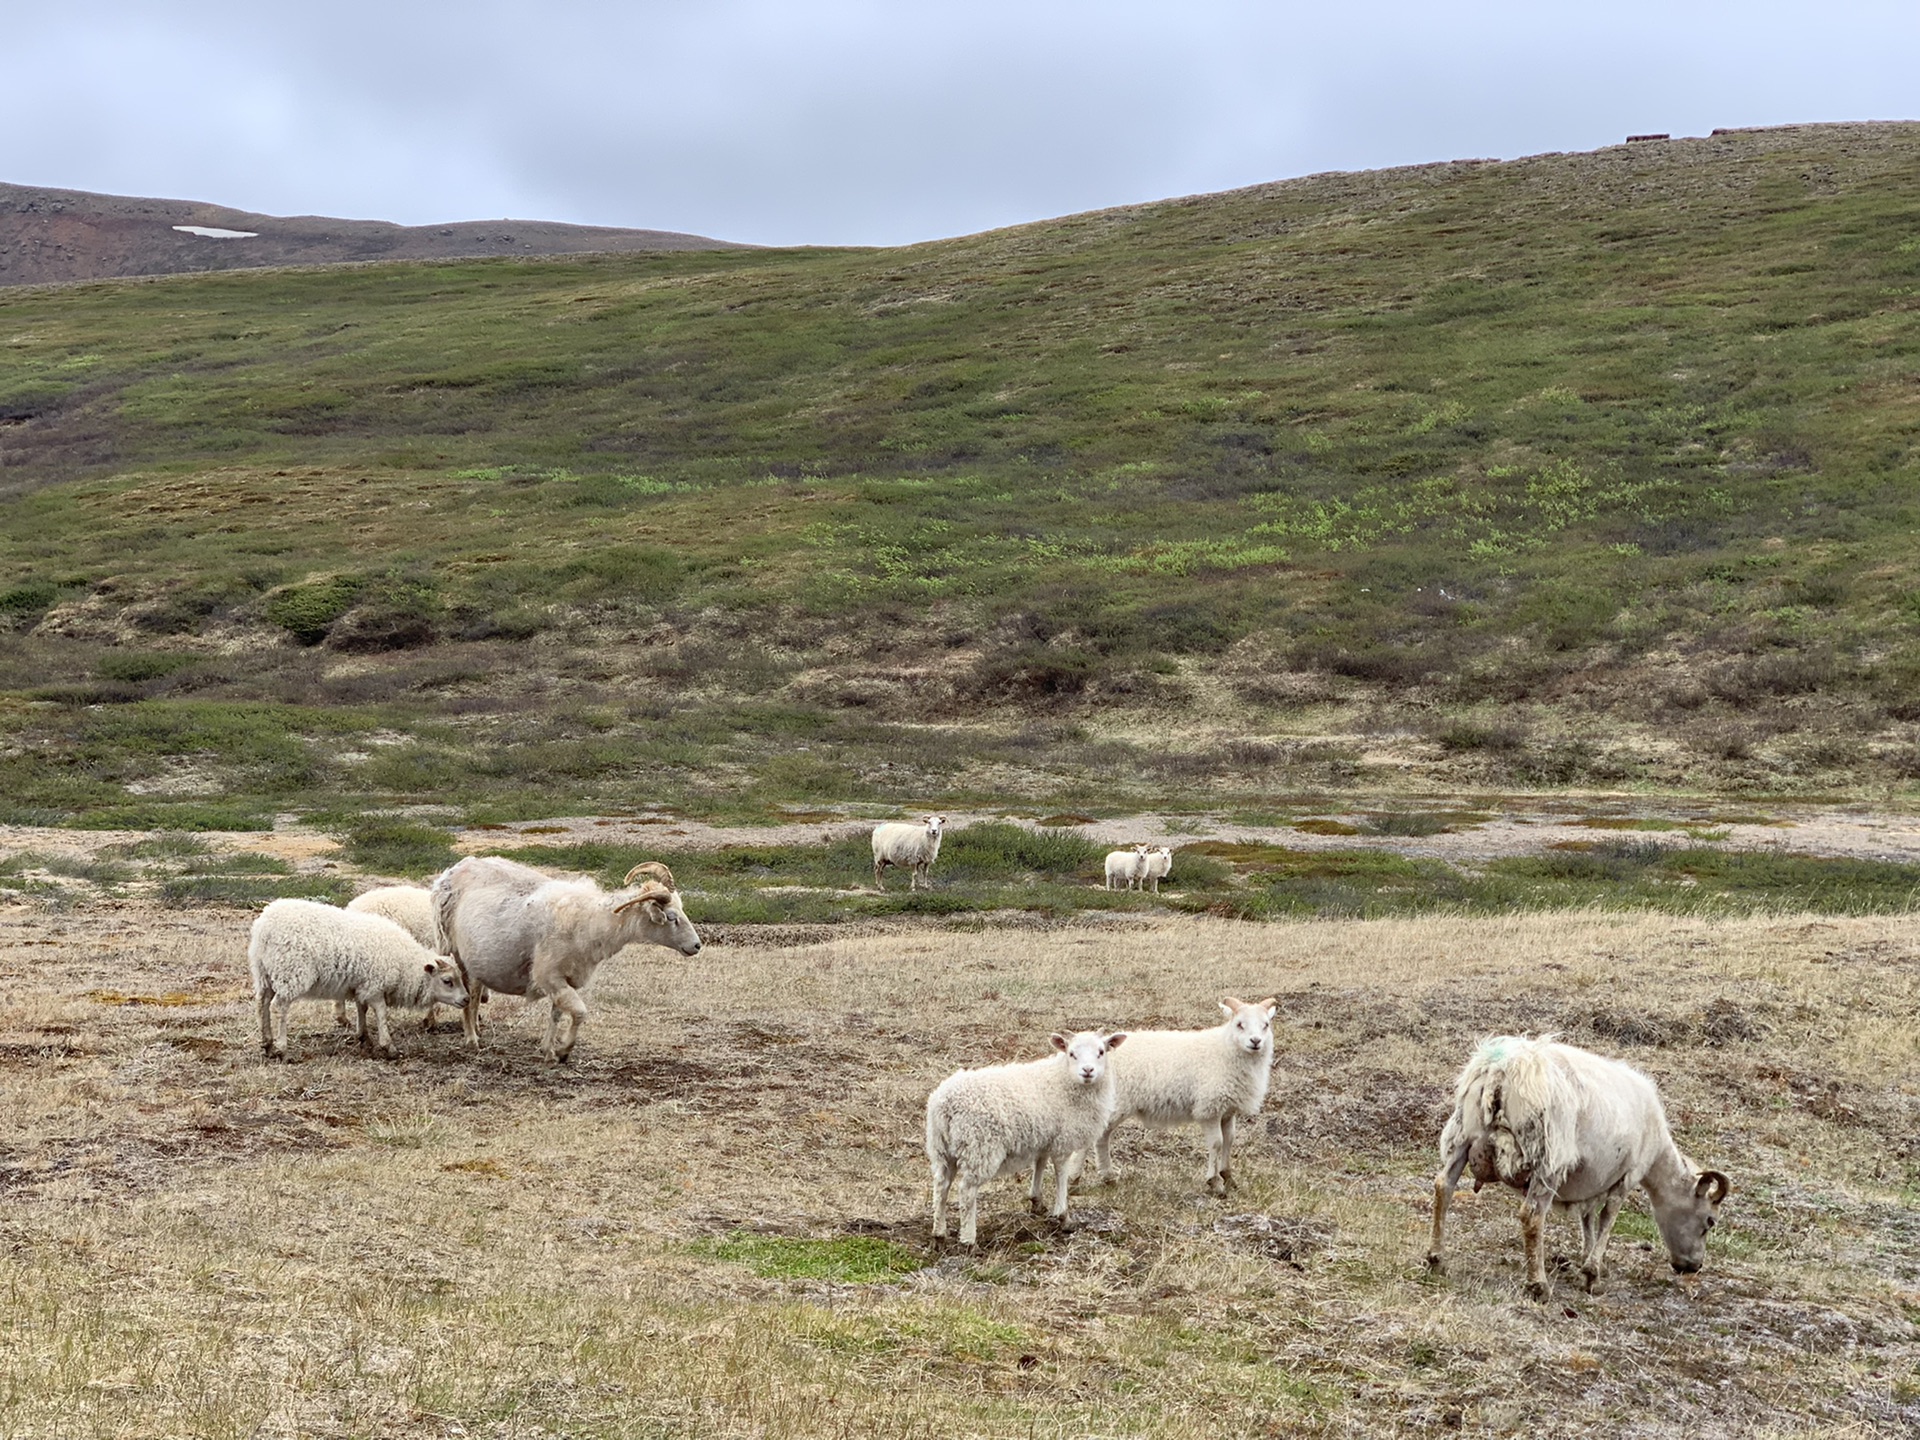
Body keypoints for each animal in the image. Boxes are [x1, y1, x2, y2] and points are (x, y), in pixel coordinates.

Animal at [251, 898, 468, 1067]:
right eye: (447, 981)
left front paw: (364, 1039)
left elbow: (361, 1008)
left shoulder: (362, 986)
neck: (404, 963)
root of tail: (263, 927)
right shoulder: (375, 986)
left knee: (262, 1004)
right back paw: (282, 1050)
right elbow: (381, 1013)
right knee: (279, 1007)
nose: (466, 999)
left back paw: (268, 1045)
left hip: (264, 973)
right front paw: (389, 1047)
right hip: (290, 973)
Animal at [432, 852, 702, 1067]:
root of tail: (456, 867)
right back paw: (470, 1038)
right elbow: (580, 1013)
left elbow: (557, 1013)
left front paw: (548, 1050)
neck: (593, 920)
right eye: (671, 917)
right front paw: (563, 1050)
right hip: (453, 948)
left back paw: (476, 1029)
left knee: (475, 991)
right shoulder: (547, 975)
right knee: (467, 994)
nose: (697, 945)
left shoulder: (565, 978)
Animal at [925, 1029, 1121, 1251]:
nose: (1088, 1071)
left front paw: (1036, 1201)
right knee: (966, 1191)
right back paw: (969, 1240)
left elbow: (1040, 1164)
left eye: (1101, 1052)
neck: (1064, 1080)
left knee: (941, 1186)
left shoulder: (1044, 1138)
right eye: (1071, 1054)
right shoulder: (1063, 1140)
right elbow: (1061, 1173)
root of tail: (945, 1104)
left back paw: (939, 1233)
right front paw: (1063, 1216)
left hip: (941, 1148)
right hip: (979, 1147)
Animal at [1082, 998, 1274, 1198]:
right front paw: (1215, 1182)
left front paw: (1228, 1177)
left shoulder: (1227, 1110)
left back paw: (1107, 1177)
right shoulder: (1210, 1107)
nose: (1256, 1041)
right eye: (1239, 1024)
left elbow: (1229, 1140)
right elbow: (1216, 1143)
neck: (1224, 1048)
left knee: (1101, 1137)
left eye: (1266, 1025)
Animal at [1428, 1029, 1743, 1305]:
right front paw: (1593, 1274)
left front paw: (1588, 1261)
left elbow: (1588, 1220)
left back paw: (1436, 1260)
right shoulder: (1627, 1177)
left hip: (1462, 1135)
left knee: (1444, 1187)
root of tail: (1500, 1070)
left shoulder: (1592, 1181)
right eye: (1710, 1221)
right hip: (1547, 1156)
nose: (1693, 1267)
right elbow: (1607, 1218)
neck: (1658, 1149)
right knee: (1532, 1215)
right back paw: (1538, 1285)